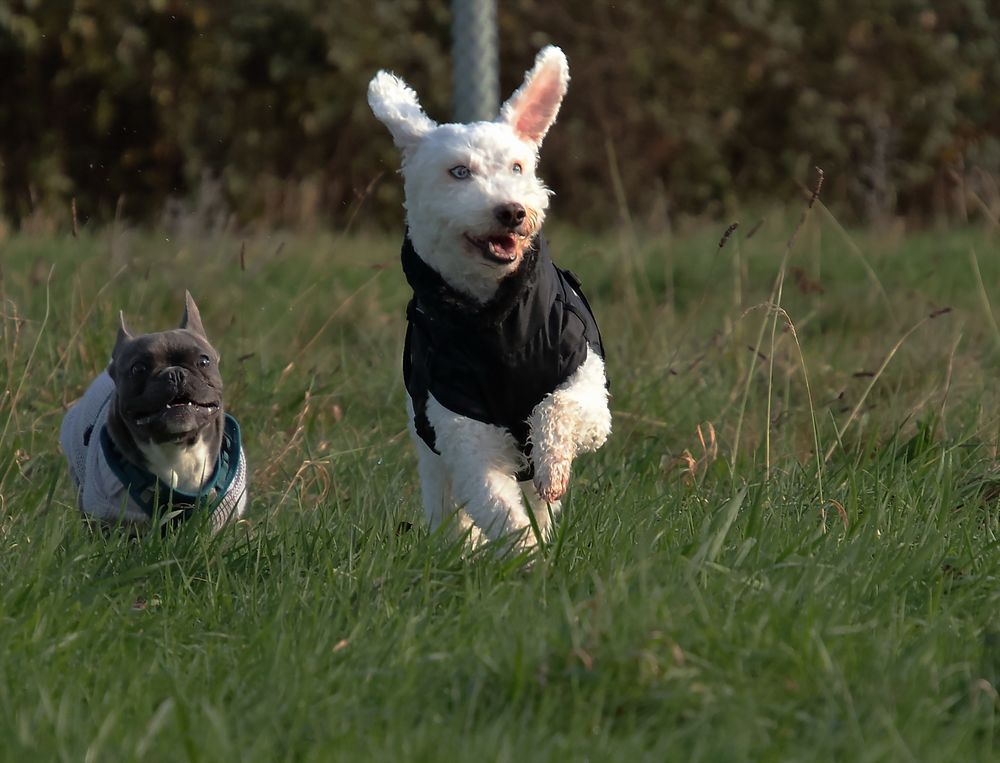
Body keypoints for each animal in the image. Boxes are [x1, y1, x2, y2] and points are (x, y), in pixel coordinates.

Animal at [368, 46, 608, 548]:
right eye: (459, 172)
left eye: (517, 167)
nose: (512, 211)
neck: (496, 323)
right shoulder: (461, 426)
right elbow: (495, 503)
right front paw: (524, 553)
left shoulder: (587, 387)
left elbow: (557, 408)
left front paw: (553, 468)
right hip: (432, 457)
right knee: (451, 507)